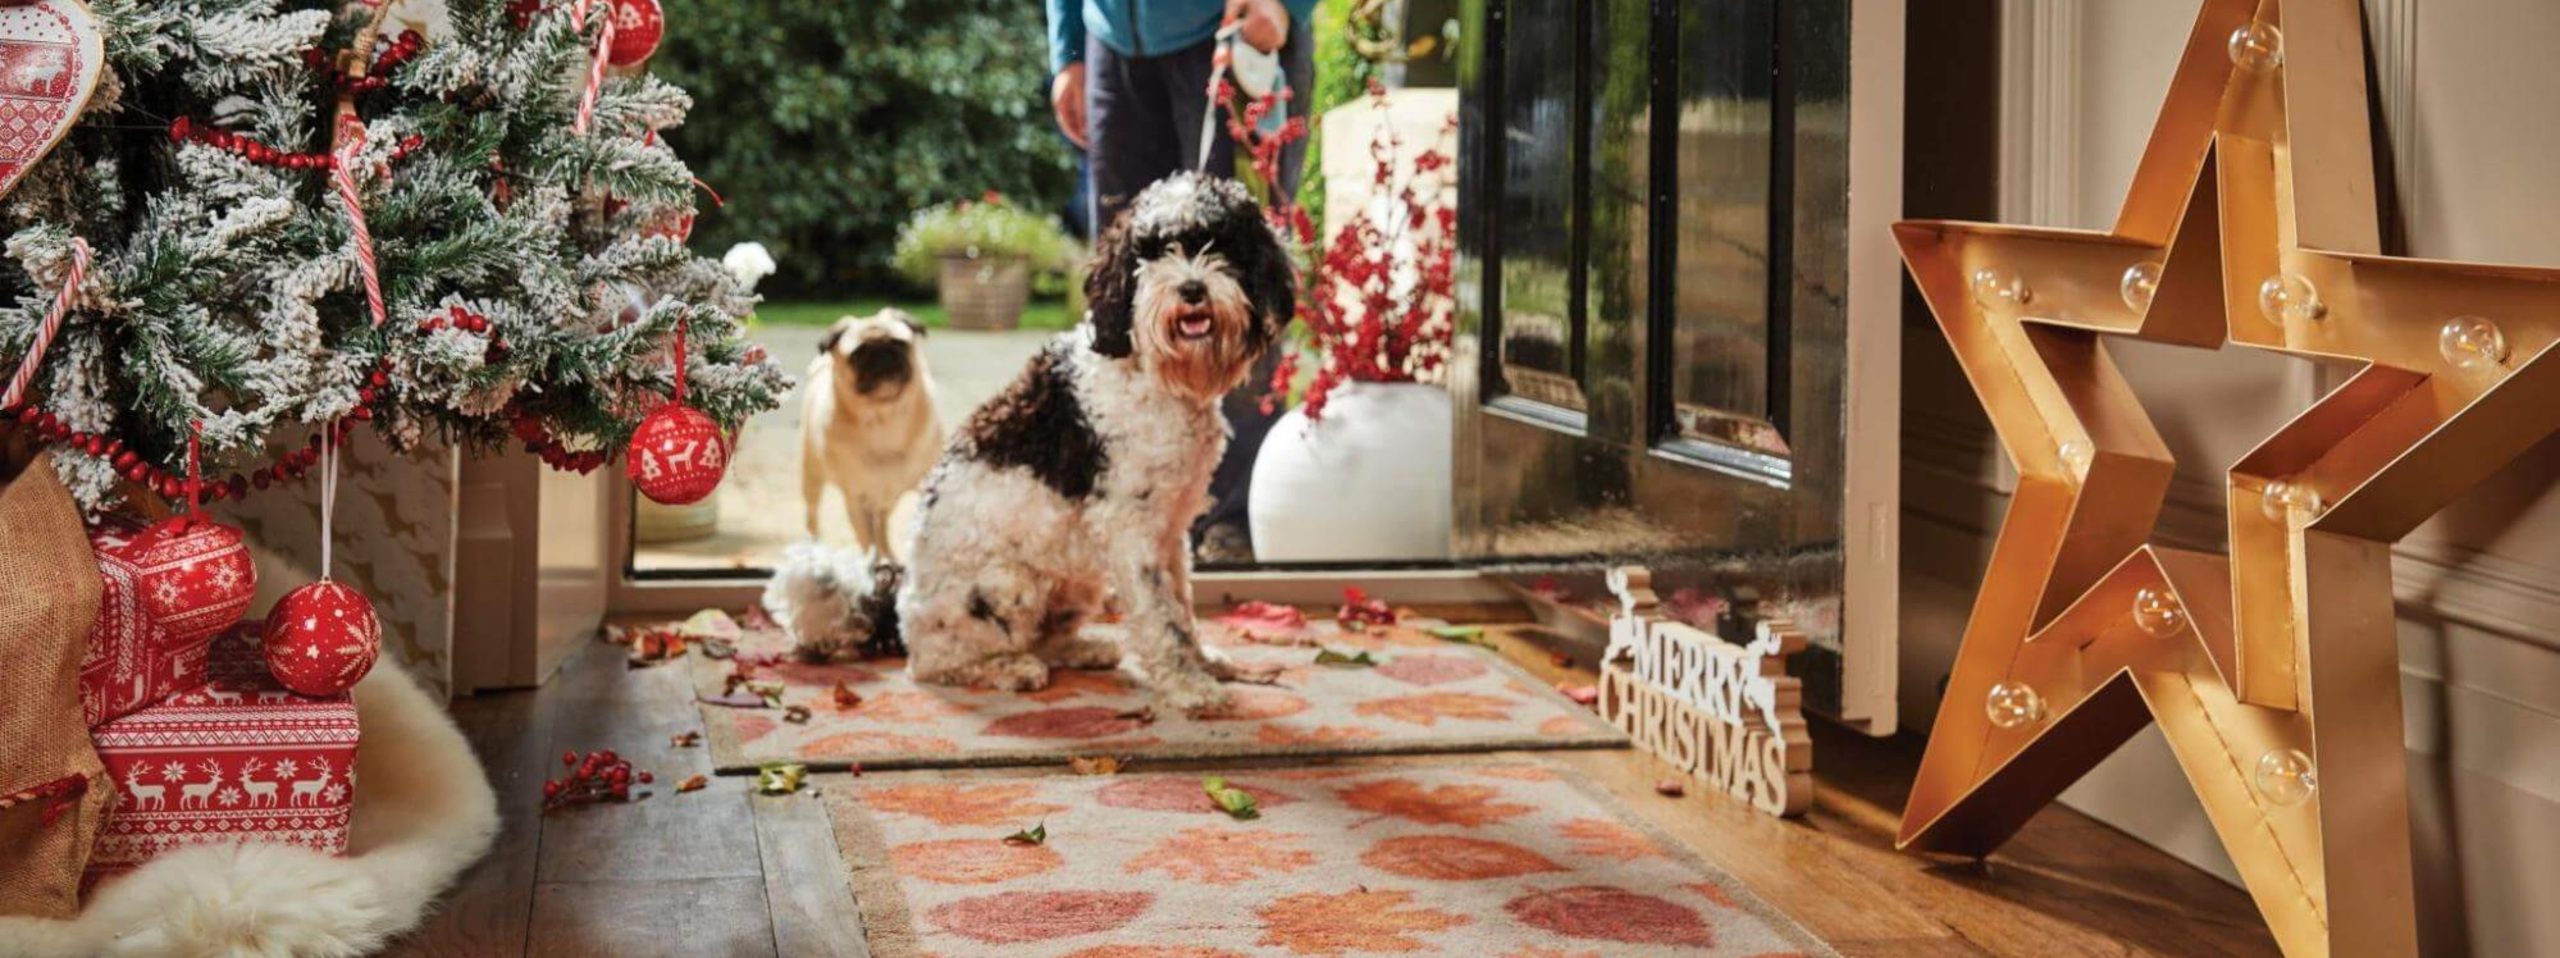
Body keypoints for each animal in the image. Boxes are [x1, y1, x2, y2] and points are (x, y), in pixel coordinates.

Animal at [901, 174, 1300, 712]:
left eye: (1219, 243)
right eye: (1152, 251)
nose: (1192, 289)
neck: (1155, 373)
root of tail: (908, 618)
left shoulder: (1171, 527)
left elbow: (1181, 604)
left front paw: (1201, 663)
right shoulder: (1131, 528)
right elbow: (1160, 615)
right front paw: (1189, 686)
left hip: (1075, 580)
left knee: (1044, 637)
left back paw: (1083, 649)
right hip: (1005, 588)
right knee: (941, 661)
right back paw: (1011, 668)